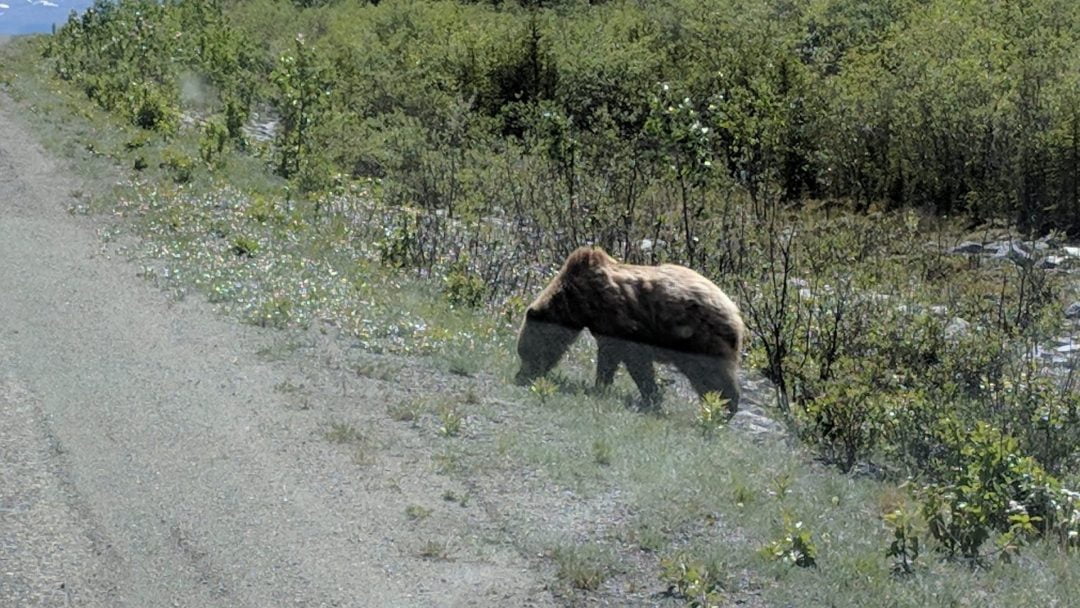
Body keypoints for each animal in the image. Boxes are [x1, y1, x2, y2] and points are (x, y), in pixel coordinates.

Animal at [511, 245, 747, 412]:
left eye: (527, 352)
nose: (521, 376)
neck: (579, 301)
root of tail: (735, 312)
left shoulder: (621, 319)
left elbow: (634, 359)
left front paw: (648, 395)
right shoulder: (605, 327)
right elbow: (610, 356)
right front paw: (603, 385)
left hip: (700, 338)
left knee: (712, 375)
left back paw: (724, 408)